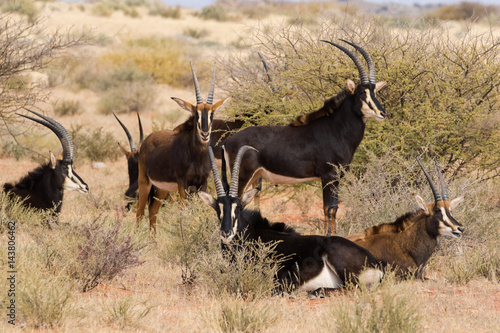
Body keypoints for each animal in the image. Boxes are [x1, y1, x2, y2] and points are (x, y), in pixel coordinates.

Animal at [137, 63, 230, 232]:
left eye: (212, 114)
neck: (197, 157)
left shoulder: (202, 184)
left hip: (162, 188)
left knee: (153, 210)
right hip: (144, 182)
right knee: (139, 211)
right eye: (196, 113)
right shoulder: (183, 184)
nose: (205, 134)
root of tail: (147, 140)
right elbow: (185, 213)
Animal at [198, 145, 382, 294]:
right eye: (217, 209)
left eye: (238, 207)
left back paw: (317, 291)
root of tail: (376, 266)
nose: (226, 233)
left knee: (352, 288)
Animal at [224, 39, 390, 235]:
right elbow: (329, 208)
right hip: (243, 176)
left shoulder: (335, 178)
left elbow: (334, 209)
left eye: (375, 91)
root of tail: (228, 142)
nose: (382, 113)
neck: (336, 129)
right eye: (362, 93)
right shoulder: (329, 176)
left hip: (255, 177)